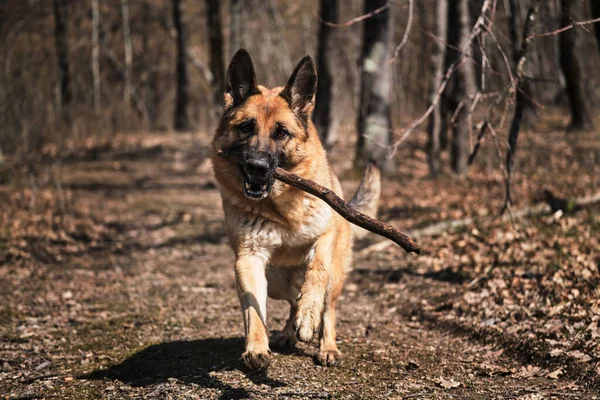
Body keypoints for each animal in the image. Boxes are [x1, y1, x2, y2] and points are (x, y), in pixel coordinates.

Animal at [211, 50, 380, 372]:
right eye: (246, 127)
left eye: (282, 133)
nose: (257, 167)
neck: (280, 208)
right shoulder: (248, 259)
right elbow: (253, 310)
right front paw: (256, 347)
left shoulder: (324, 239)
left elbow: (317, 273)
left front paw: (308, 316)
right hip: (277, 282)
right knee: (290, 300)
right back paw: (288, 333)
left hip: (336, 275)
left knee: (328, 306)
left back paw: (326, 345)